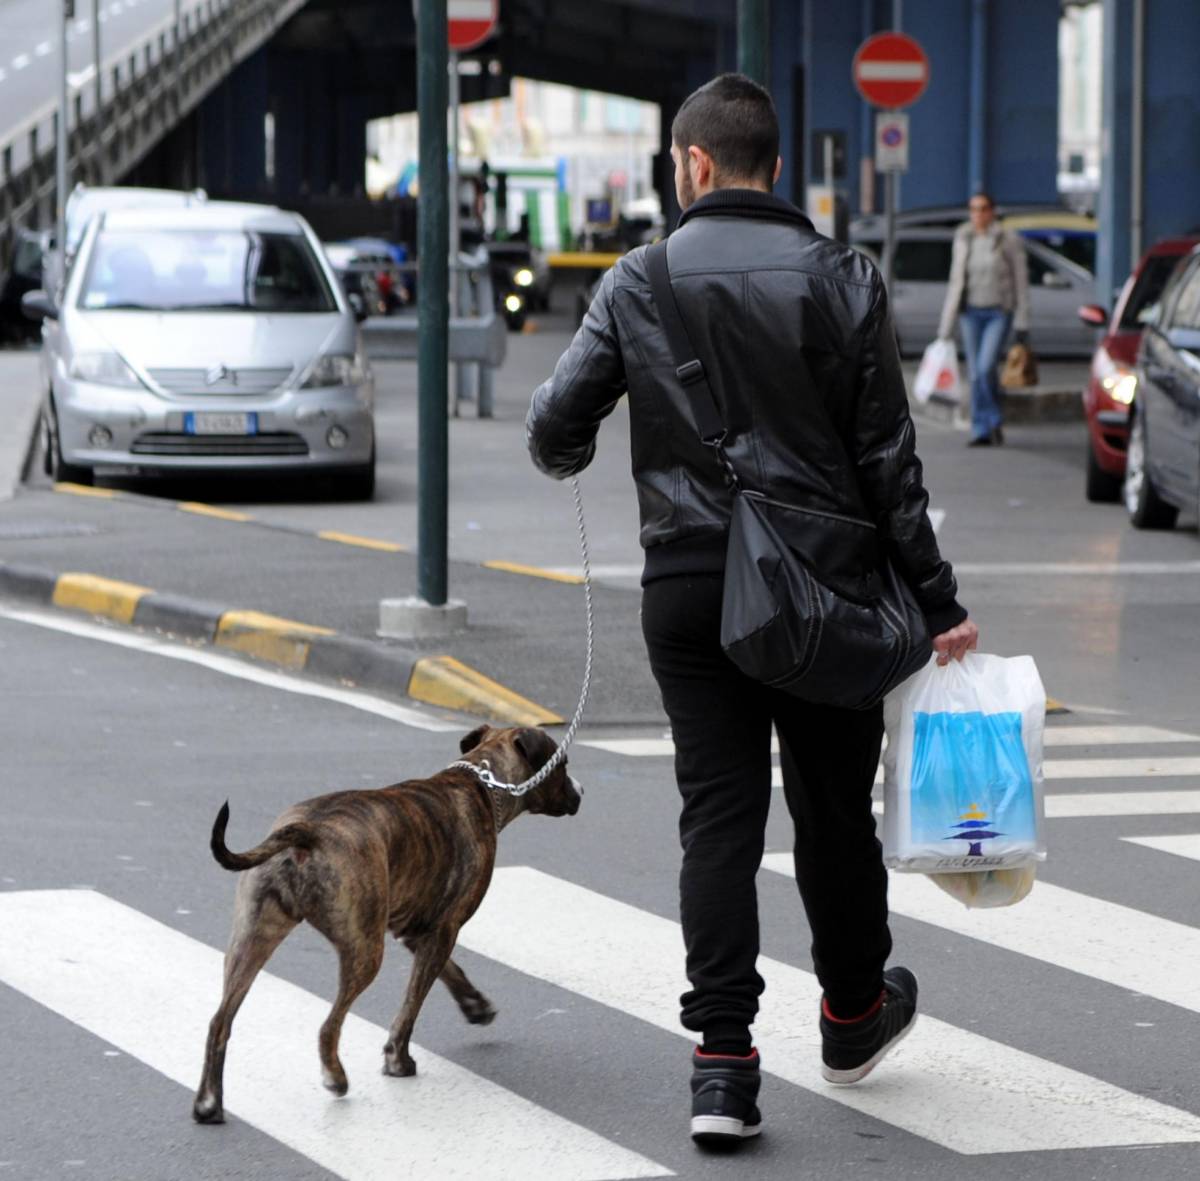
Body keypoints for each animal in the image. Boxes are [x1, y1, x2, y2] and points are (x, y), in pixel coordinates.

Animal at [192, 724, 580, 1123]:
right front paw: (399, 1060)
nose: (580, 791)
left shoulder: (416, 927)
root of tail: (307, 831)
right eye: (563, 763)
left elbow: (450, 973)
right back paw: (335, 1076)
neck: (483, 781)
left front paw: (475, 1005)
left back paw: (209, 1103)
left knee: (220, 1022)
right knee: (329, 1025)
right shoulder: (444, 930)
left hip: (251, 940)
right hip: (364, 950)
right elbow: (411, 1005)